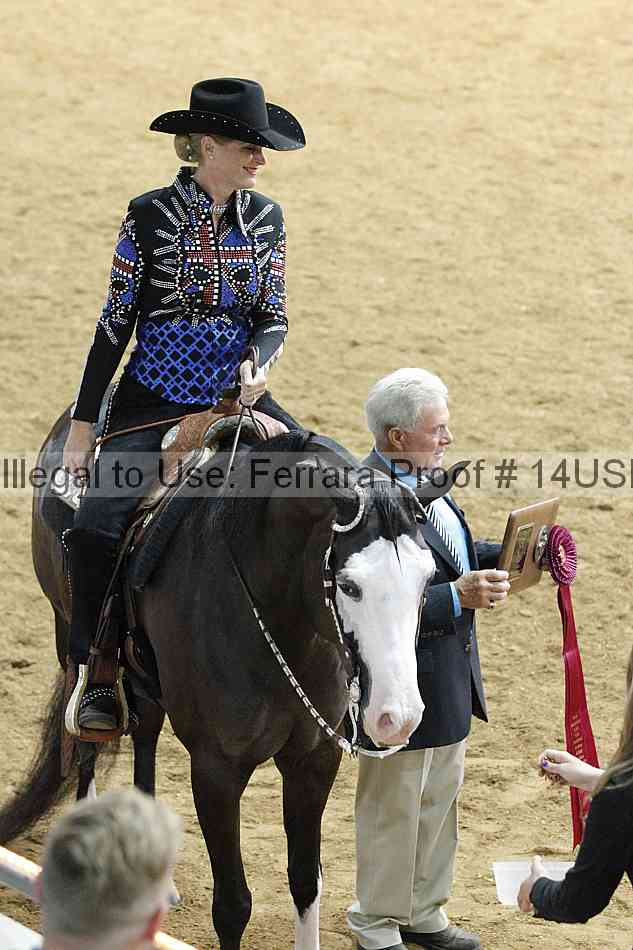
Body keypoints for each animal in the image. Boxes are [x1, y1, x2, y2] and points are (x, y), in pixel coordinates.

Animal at [0, 409, 437, 950]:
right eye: (350, 585)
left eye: (427, 579)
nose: (399, 717)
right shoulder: (216, 770)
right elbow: (232, 905)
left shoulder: (314, 759)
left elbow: (305, 880)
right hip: (70, 638)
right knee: (85, 743)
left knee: (145, 732)